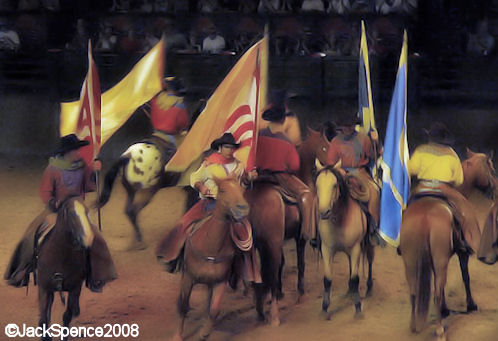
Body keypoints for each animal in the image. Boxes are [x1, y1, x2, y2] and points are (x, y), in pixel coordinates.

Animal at [36, 195, 96, 338]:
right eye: (71, 214)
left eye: (87, 211)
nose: (88, 237)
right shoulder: (43, 288)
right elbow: (43, 320)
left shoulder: (75, 289)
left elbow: (67, 316)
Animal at [171, 178, 251, 340]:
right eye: (223, 190)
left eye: (241, 189)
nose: (243, 208)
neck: (210, 244)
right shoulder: (188, 277)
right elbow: (183, 305)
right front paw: (177, 336)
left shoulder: (220, 281)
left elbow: (214, 309)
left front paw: (204, 332)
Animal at [245, 125, 330, 324]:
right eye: (325, 146)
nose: (332, 165)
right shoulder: (298, 238)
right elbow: (300, 264)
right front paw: (301, 294)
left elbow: (279, 266)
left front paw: (280, 293)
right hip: (273, 243)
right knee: (271, 272)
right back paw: (274, 315)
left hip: (254, 246)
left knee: (259, 276)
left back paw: (260, 311)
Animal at [316, 159, 374, 316]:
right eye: (317, 185)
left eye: (334, 185)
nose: (324, 212)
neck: (341, 219)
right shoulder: (326, 249)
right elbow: (327, 279)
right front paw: (325, 307)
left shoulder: (355, 249)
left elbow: (355, 278)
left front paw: (358, 306)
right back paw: (349, 291)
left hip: (368, 245)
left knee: (370, 261)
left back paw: (369, 287)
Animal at [398, 150, 496, 338]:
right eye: (492, 169)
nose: (495, 188)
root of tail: (424, 216)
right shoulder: (462, 254)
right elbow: (465, 277)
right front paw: (471, 305)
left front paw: (444, 309)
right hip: (440, 259)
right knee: (436, 292)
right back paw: (440, 330)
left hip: (411, 260)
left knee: (414, 291)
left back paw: (413, 325)